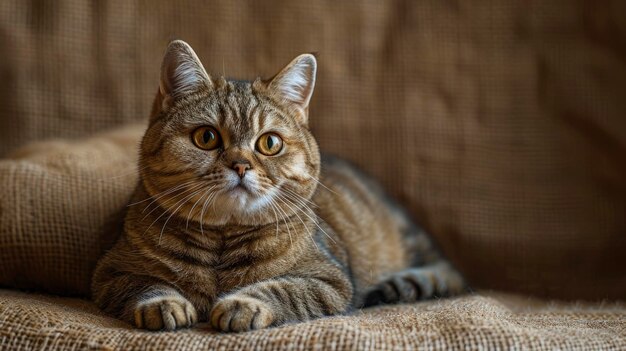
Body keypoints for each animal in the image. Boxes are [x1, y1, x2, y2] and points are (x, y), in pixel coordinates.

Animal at [91, 39, 464, 332]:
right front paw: (164, 303)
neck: (222, 241)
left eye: (269, 143)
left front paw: (242, 304)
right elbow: (145, 285)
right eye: (206, 138)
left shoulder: (329, 280)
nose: (240, 165)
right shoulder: (111, 272)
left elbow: (281, 289)